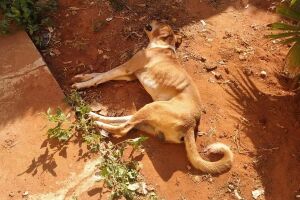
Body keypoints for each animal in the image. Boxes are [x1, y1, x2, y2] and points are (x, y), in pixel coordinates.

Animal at [72, 20, 234, 173]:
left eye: (160, 21)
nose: (153, 19)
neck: (162, 46)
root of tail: (191, 124)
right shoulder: (129, 75)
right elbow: (99, 74)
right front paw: (82, 76)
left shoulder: (126, 69)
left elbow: (102, 76)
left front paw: (80, 85)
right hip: (148, 117)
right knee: (126, 120)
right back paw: (93, 116)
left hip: (153, 107)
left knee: (123, 129)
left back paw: (98, 124)